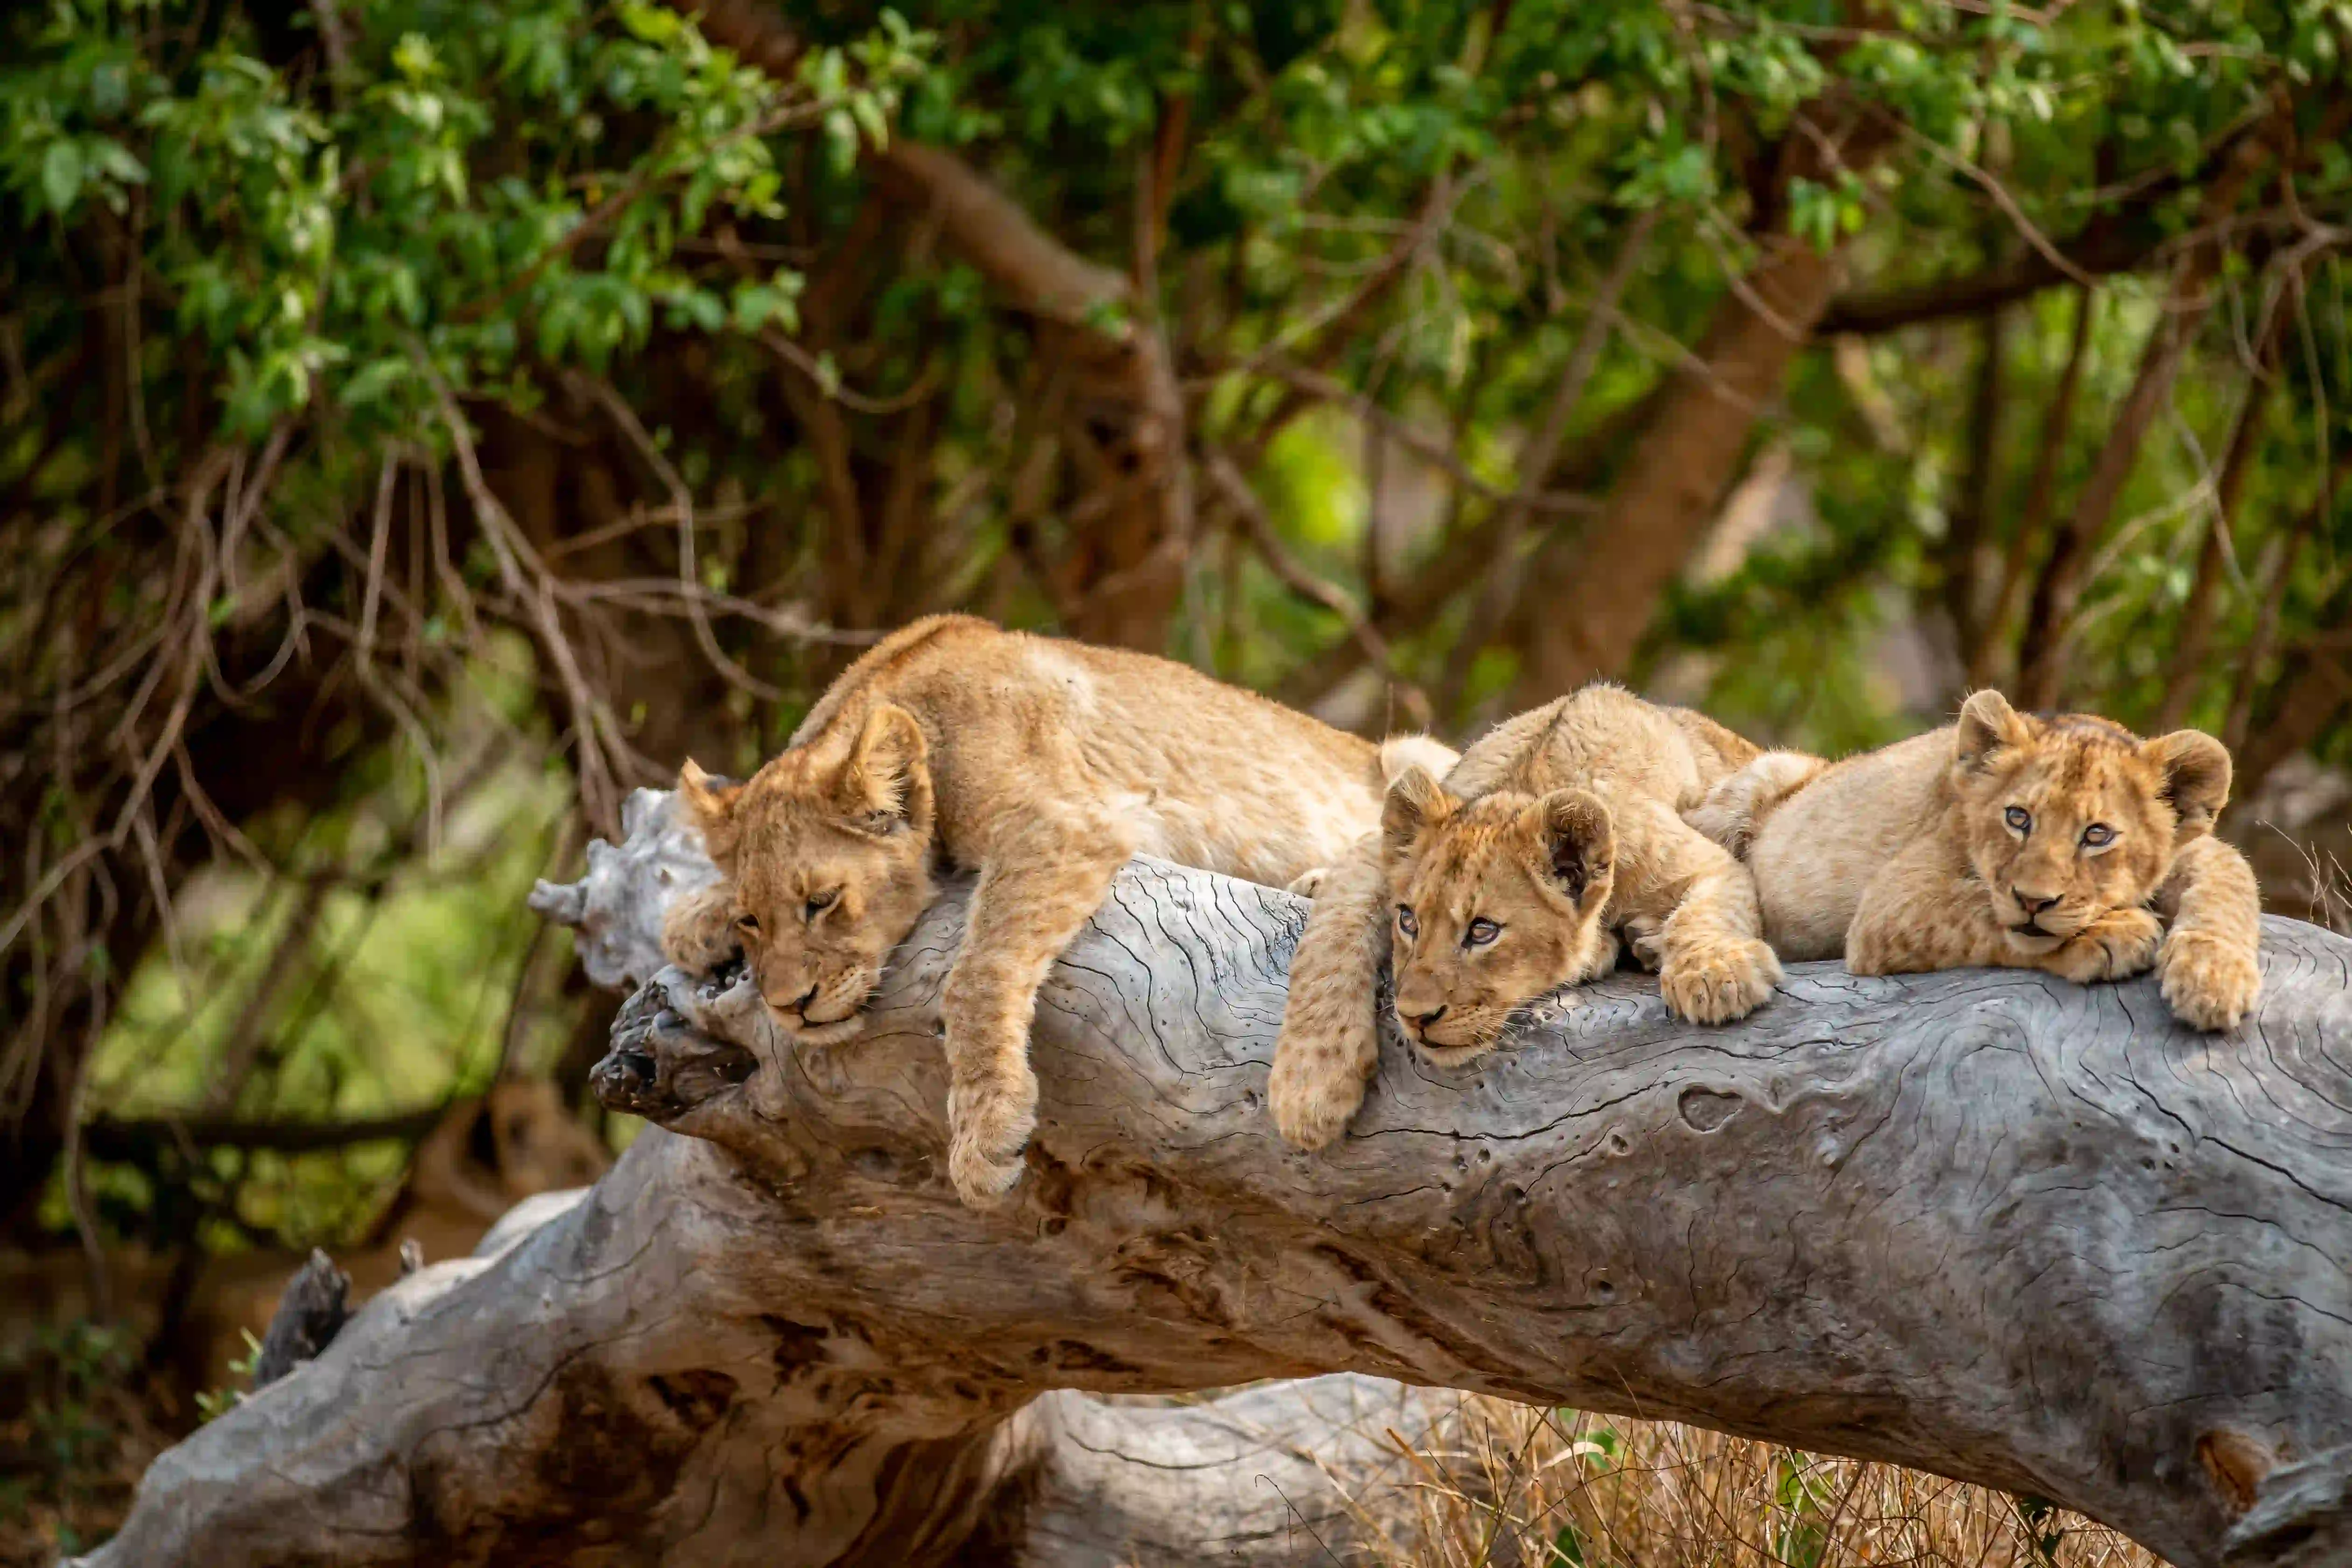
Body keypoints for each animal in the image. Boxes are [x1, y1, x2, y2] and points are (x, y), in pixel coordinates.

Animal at [661, 614, 1457, 1206]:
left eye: (821, 902)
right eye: (753, 921)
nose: (788, 1006)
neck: (904, 695)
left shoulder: (1063, 818)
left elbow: (976, 973)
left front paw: (986, 1131)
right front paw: (694, 918)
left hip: (1416, 755)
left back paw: (1317, 879)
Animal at [1270, 684, 1782, 1150]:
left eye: (1482, 931)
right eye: (1409, 922)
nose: (1416, 1018)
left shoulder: (1706, 863)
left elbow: (1707, 911)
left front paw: (1717, 977)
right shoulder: (1371, 861)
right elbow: (1329, 940)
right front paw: (1308, 1089)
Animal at [1684, 688, 2262, 1030]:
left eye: (2096, 835)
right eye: (2017, 817)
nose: (2033, 900)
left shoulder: (2196, 849)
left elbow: (2231, 877)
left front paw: (2213, 977)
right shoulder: (1892, 903)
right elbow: (1981, 912)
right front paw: (2111, 934)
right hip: (1756, 781)